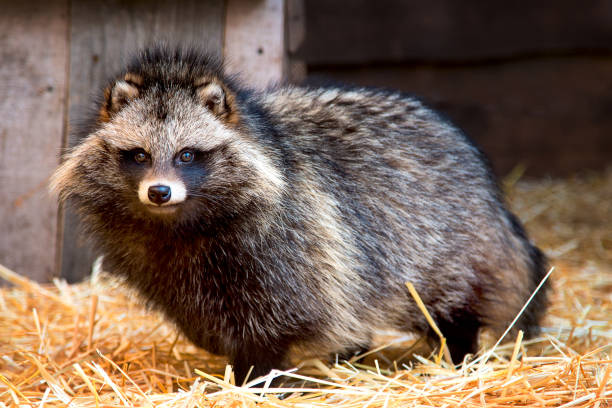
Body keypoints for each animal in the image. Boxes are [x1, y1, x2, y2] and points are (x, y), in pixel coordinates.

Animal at [51, 47, 548, 382]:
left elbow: (275, 321)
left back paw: (458, 352)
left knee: (446, 303)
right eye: (138, 155)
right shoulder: (162, 263)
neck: (180, 224)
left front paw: (257, 376)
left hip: (443, 242)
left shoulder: (289, 244)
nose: (158, 192)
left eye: (187, 155)